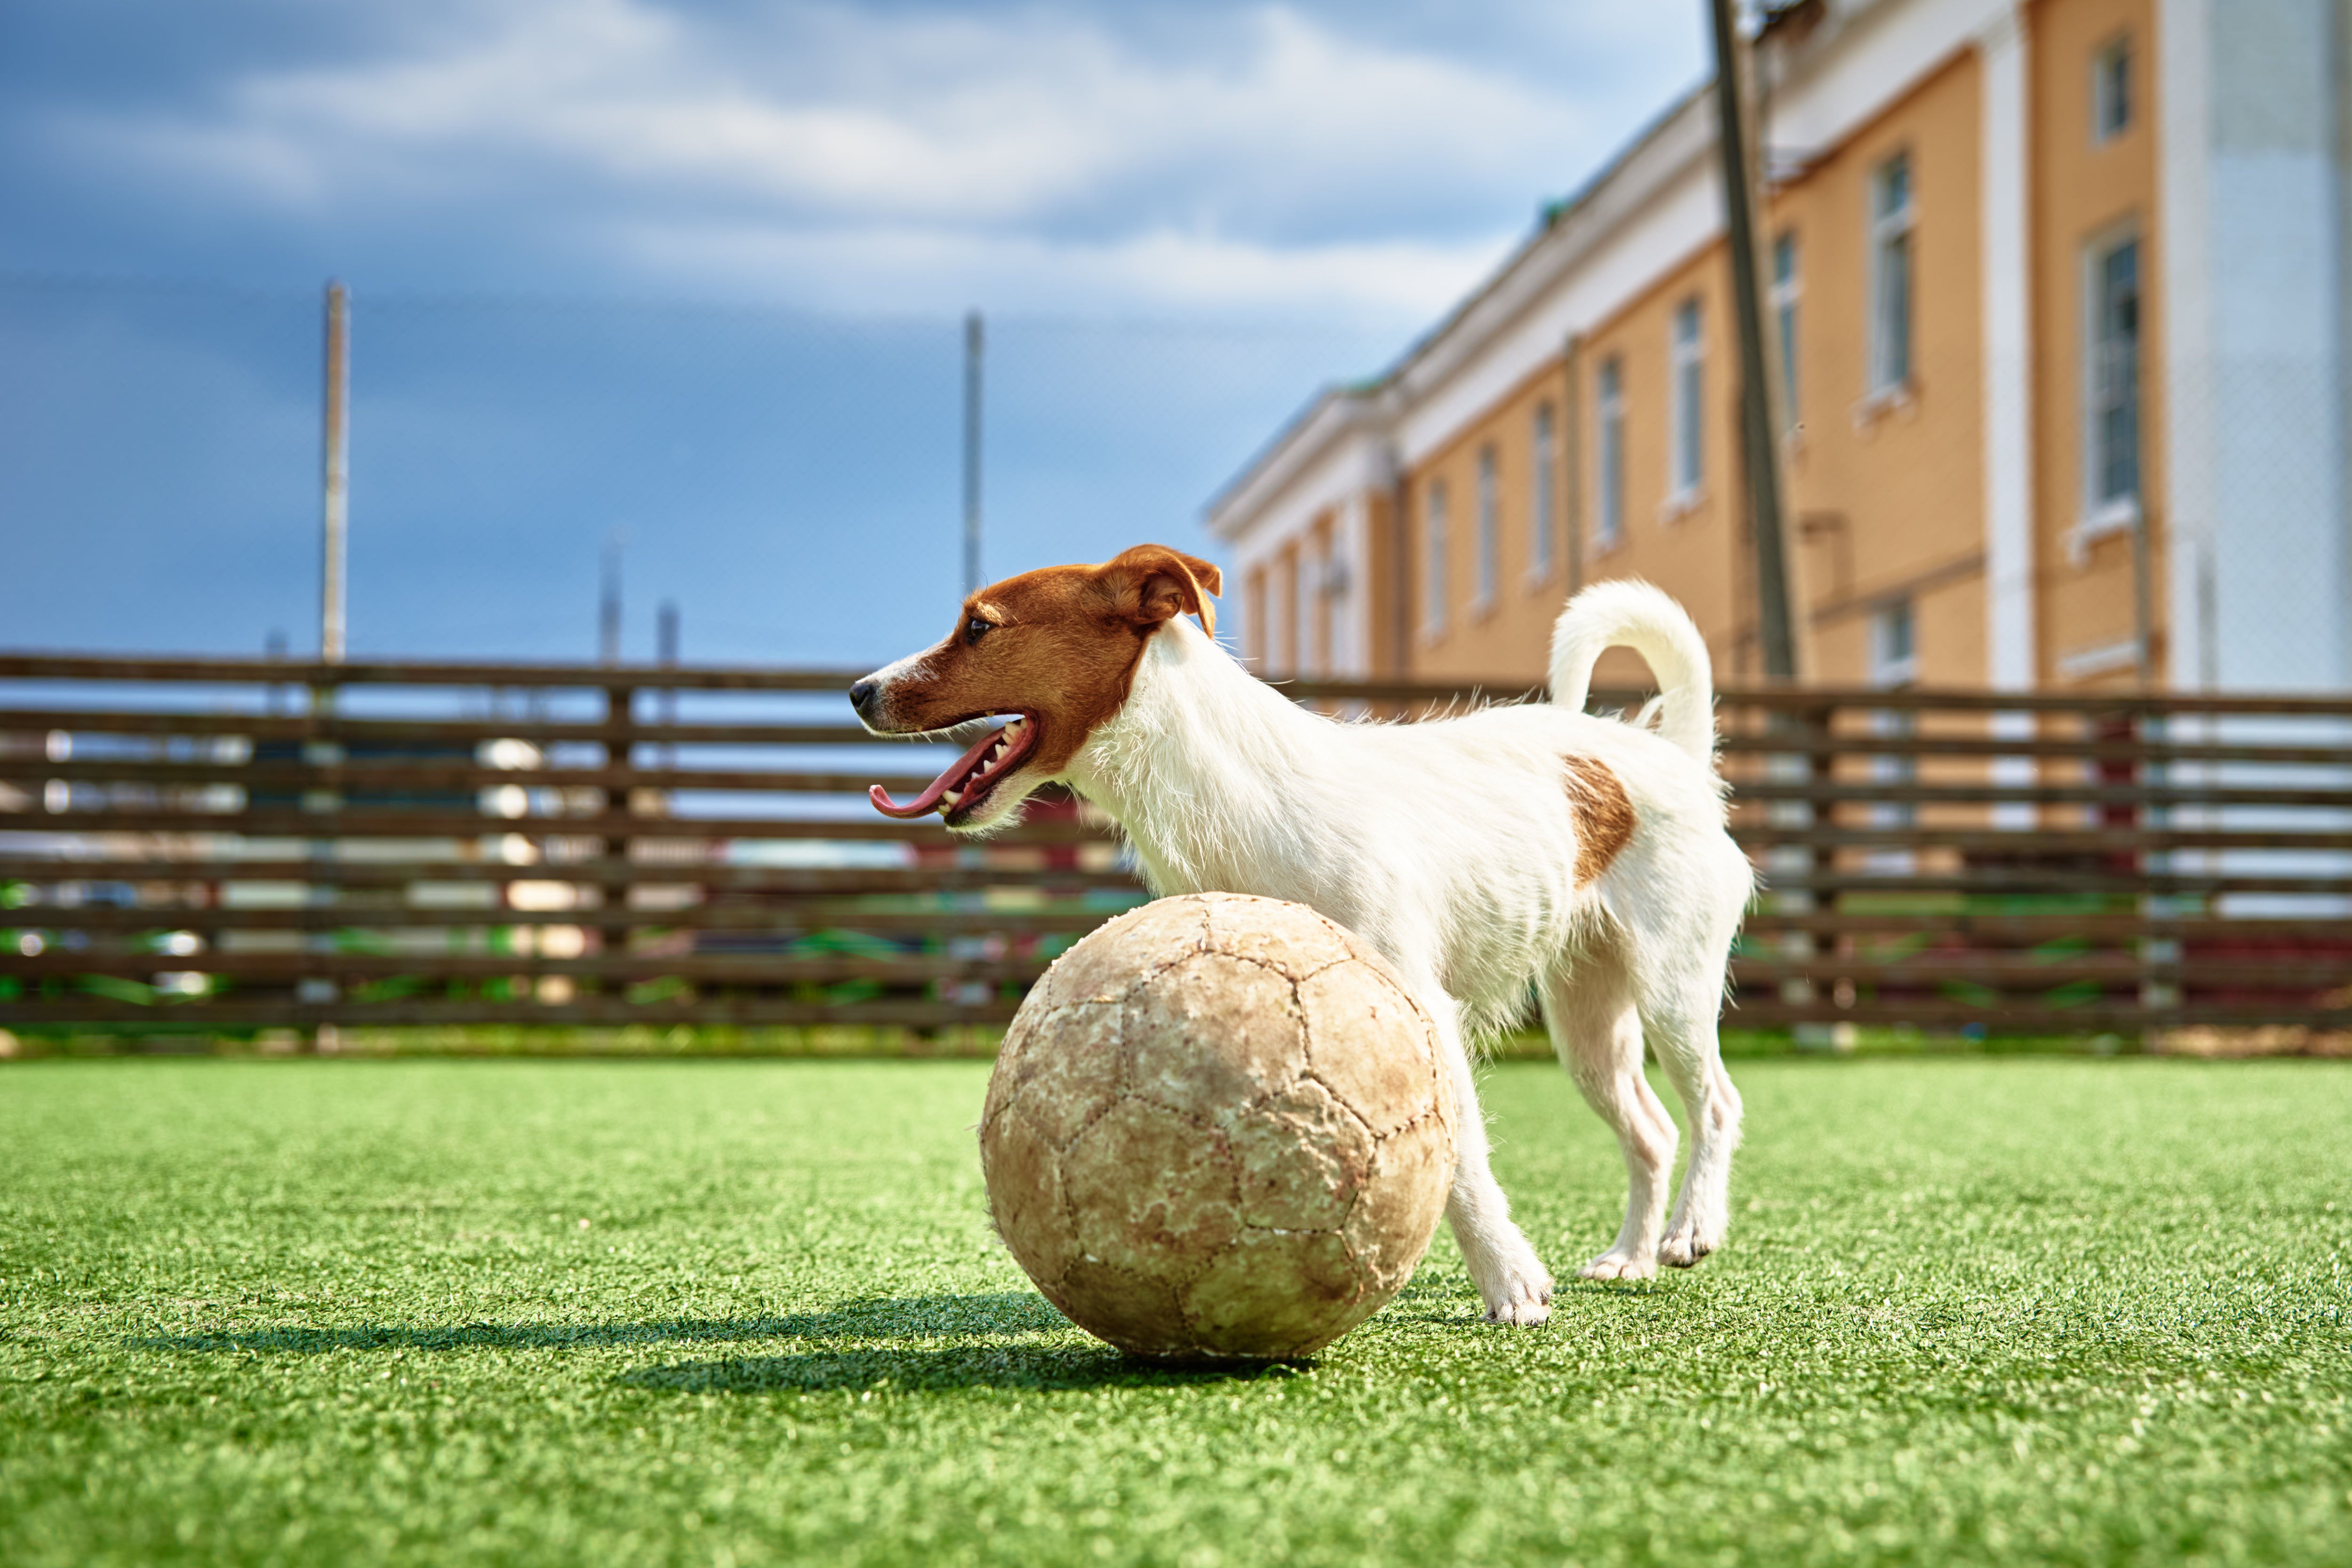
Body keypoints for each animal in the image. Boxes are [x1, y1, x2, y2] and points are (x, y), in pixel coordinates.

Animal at [847, 545, 1750, 1316]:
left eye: (978, 627)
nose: (857, 691)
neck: (1230, 791)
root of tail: (1670, 751)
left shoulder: (1422, 1008)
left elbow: (1463, 1160)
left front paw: (1509, 1281)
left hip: (1674, 986)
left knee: (1715, 1103)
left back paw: (1691, 1229)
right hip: (1588, 1022)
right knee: (1652, 1130)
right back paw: (1630, 1255)